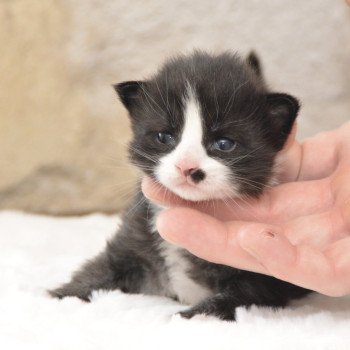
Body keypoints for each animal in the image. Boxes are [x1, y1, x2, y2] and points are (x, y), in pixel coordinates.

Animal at [48, 50, 308, 322]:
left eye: (224, 144)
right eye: (164, 137)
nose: (186, 167)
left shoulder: (264, 280)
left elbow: (235, 299)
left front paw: (188, 317)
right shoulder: (134, 237)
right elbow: (100, 270)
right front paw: (60, 296)